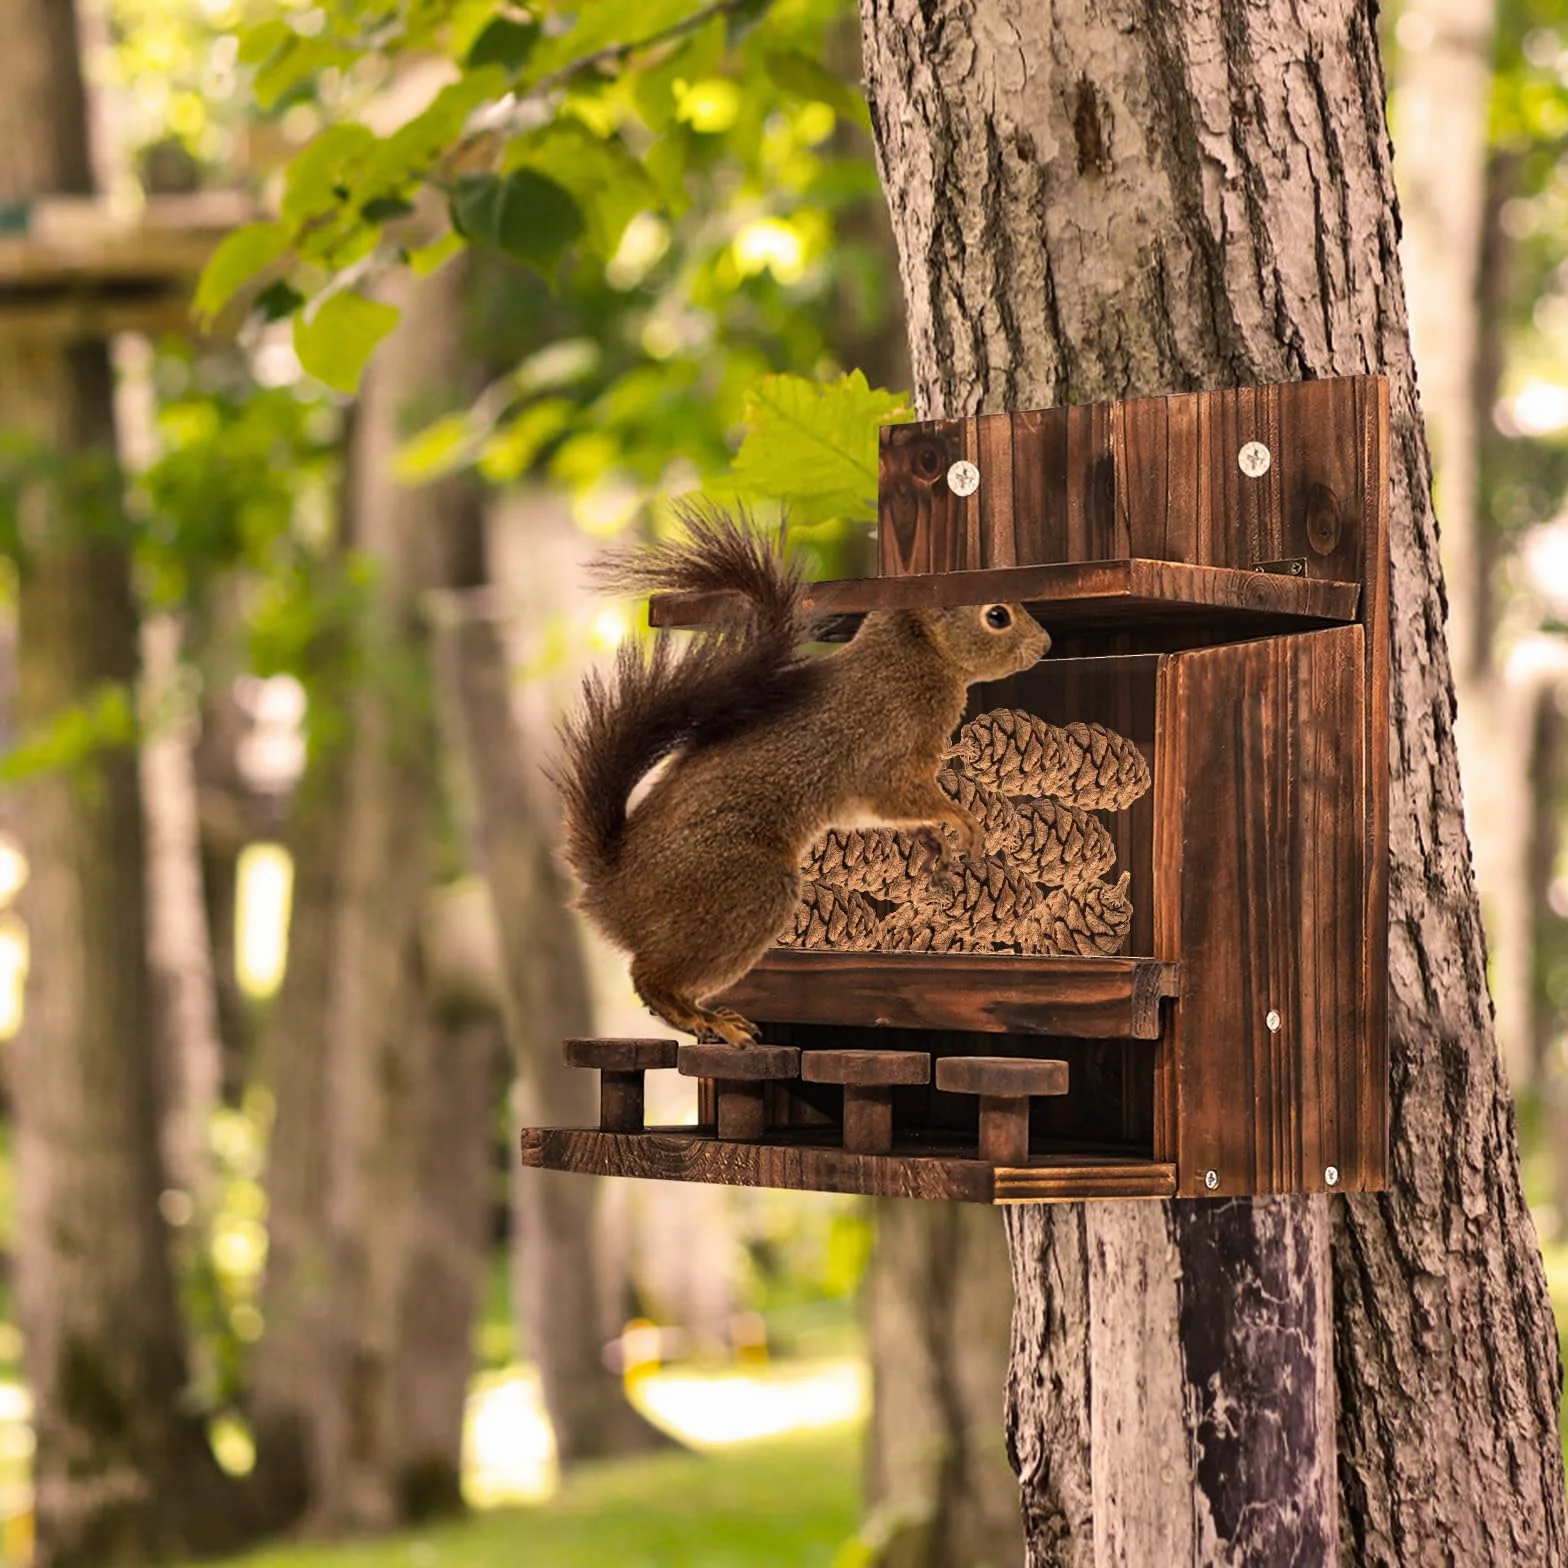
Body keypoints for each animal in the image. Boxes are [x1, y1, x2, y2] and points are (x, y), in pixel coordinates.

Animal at [552, 506, 1051, 1044]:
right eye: (997, 616)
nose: (1046, 644)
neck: (915, 660)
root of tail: (613, 888)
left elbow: (889, 814)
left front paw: (932, 841)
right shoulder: (887, 754)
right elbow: (904, 796)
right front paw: (963, 822)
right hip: (743, 892)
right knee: (650, 977)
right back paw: (707, 1019)